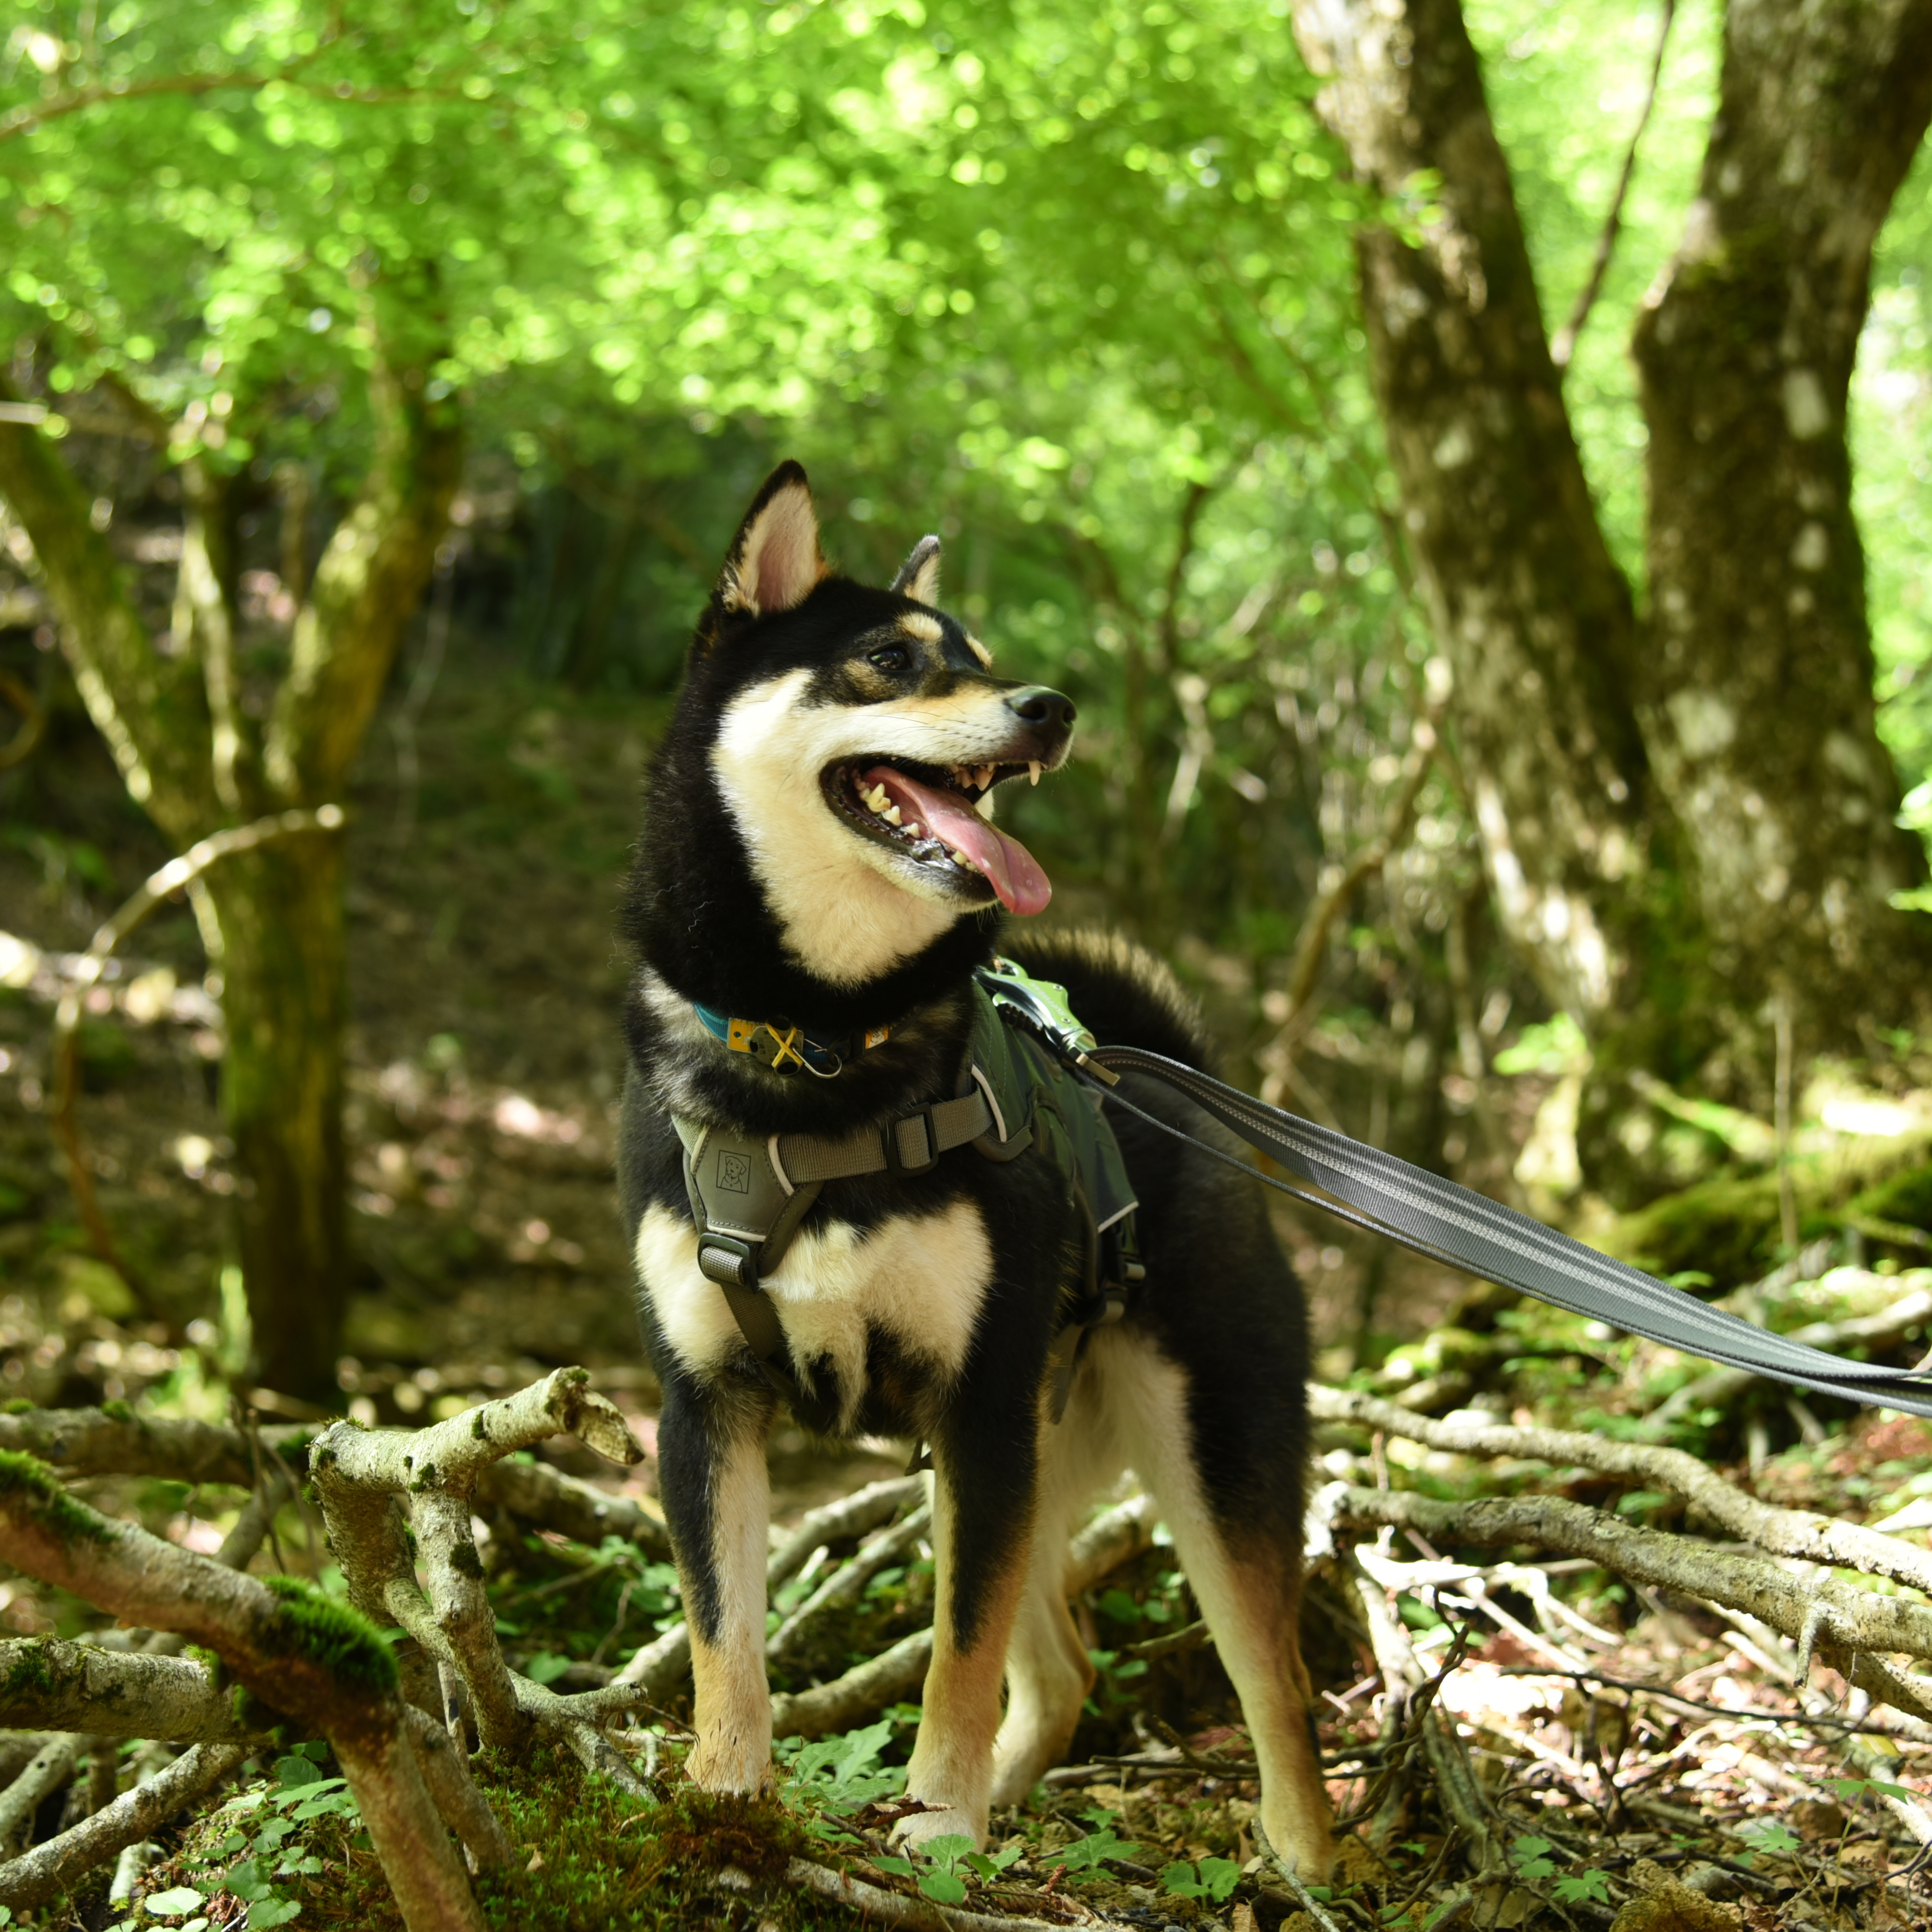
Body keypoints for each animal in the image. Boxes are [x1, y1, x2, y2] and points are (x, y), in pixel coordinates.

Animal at [614, 459, 1329, 1862]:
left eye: (986, 662)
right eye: (890, 659)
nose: (1049, 710)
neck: (821, 1044)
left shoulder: (977, 1397)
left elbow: (956, 1653)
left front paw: (939, 1821)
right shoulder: (705, 1404)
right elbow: (726, 1638)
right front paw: (727, 1798)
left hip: (1198, 1448)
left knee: (1275, 1685)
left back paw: (1304, 1859)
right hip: (1036, 1457)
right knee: (1065, 1668)